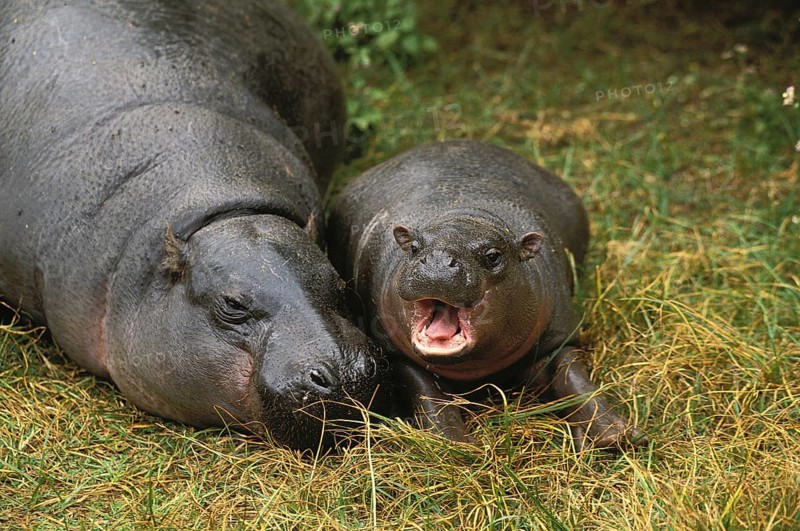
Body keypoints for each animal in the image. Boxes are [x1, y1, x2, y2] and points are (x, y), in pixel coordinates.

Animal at [328, 140, 646, 449]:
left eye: (493, 256)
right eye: (414, 247)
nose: (438, 261)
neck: (463, 215)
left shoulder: (559, 334)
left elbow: (573, 375)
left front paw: (616, 434)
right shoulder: (394, 350)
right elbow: (427, 392)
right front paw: (453, 444)